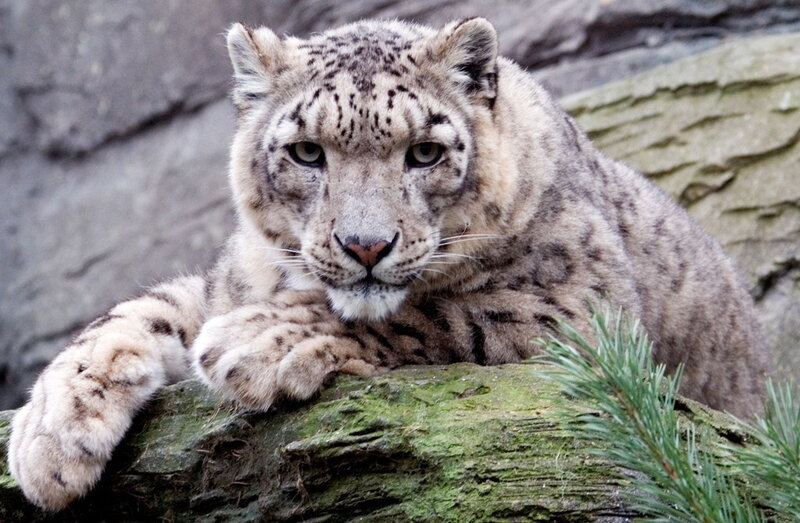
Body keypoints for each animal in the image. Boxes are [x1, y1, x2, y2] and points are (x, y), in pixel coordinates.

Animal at [8, 17, 768, 511]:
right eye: (307, 152)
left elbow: (440, 310)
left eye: (425, 152)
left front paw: (263, 342)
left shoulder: (580, 305)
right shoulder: (230, 280)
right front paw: (48, 435)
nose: (366, 246)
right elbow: (138, 311)